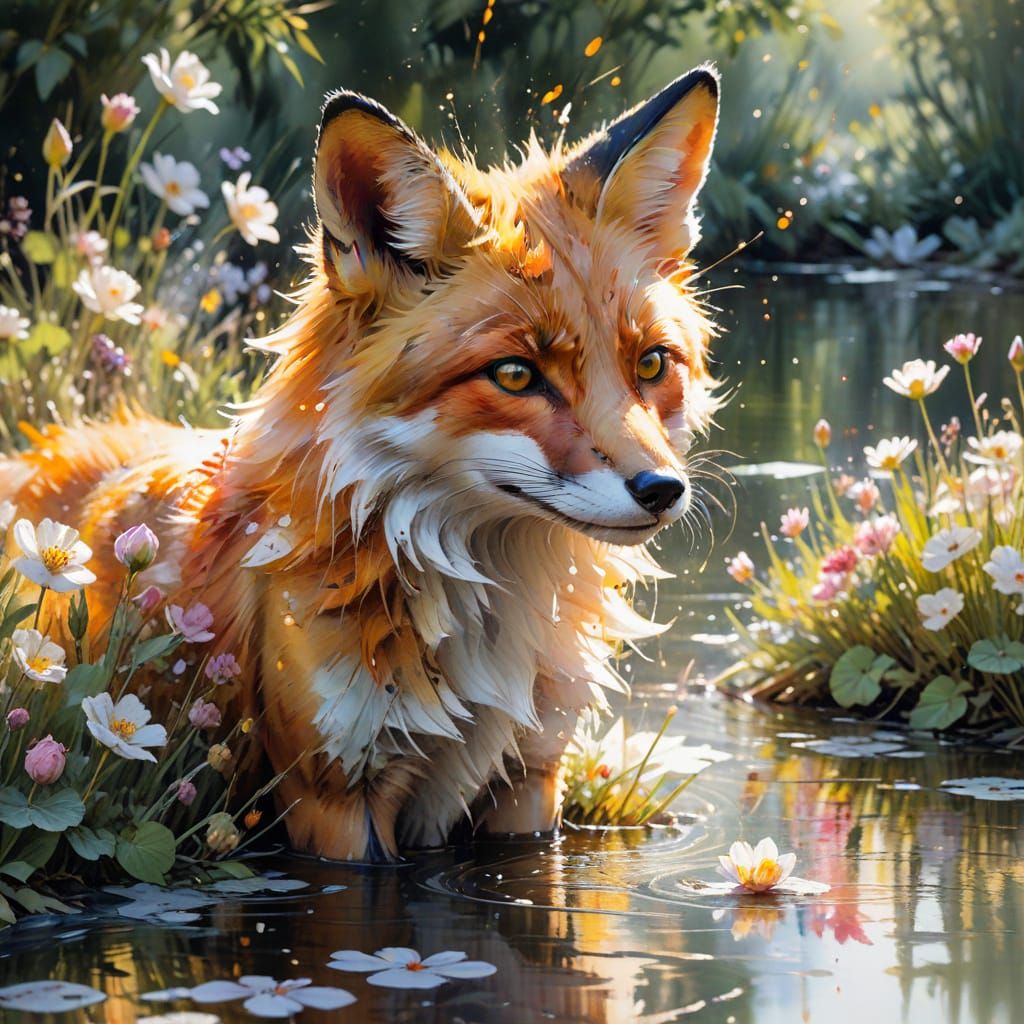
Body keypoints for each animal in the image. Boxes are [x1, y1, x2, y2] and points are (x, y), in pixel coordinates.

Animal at [1, 66, 722, 861]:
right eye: (514, 375)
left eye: (651, 363)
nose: (662, 490)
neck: (490, 614)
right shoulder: (336, 796)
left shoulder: (530, 779)